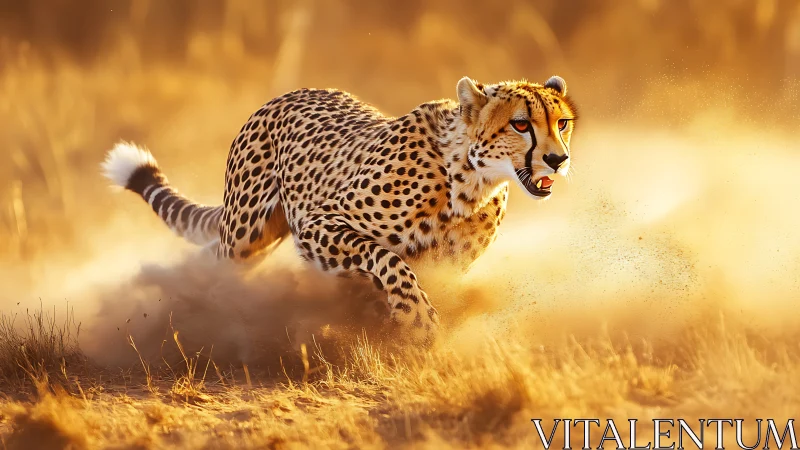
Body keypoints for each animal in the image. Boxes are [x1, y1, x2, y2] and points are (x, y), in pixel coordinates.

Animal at [101, 76, 579, 345]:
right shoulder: (317, 224)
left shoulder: (448, 265)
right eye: (521, 124)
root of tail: (288, 94)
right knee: (218, 262)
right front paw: (416, 321)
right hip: (246, 233)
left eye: (562, 123)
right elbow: (390, 260)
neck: (469, 181)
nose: (558, 160)